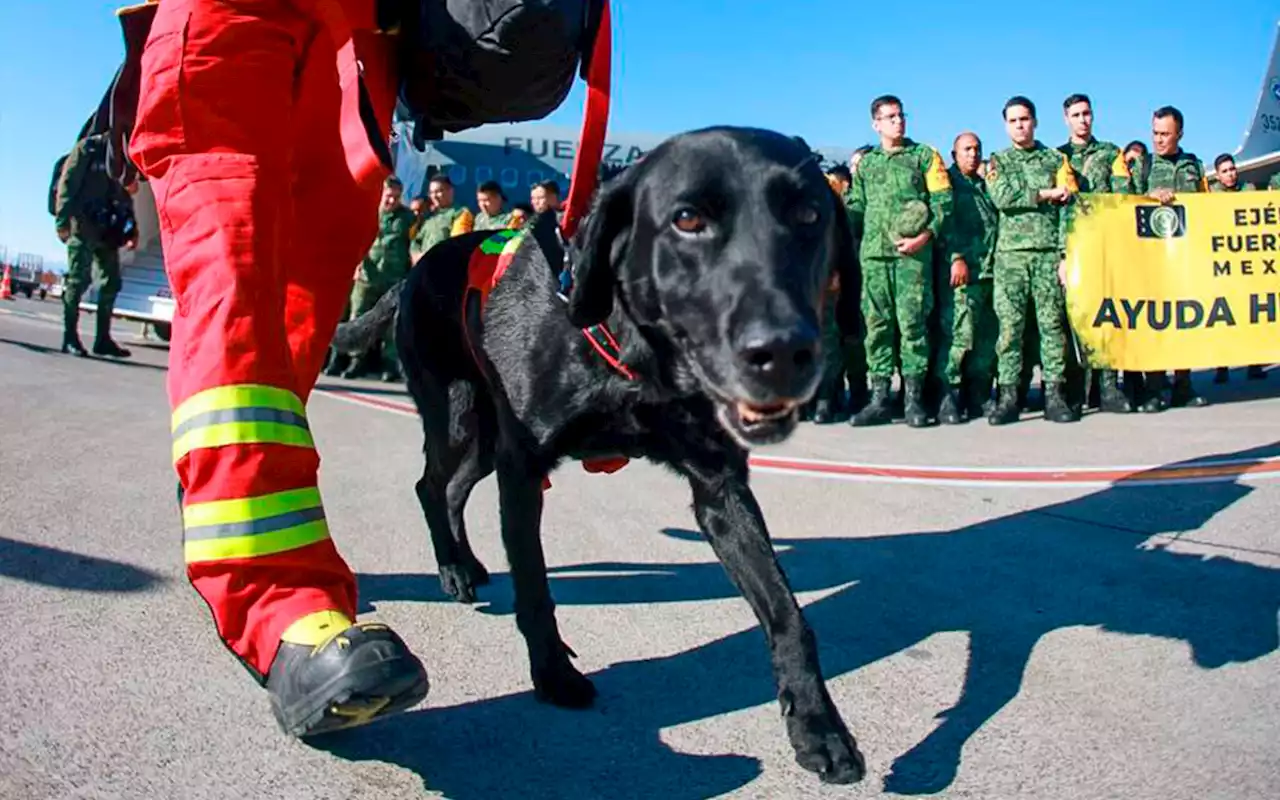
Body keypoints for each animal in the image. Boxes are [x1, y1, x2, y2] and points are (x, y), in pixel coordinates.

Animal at [335, 128, 865, 783]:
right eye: (687, 219)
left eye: (810, 215)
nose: (785, 351)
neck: (639, 356)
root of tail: (413, 273)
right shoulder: (522, 468)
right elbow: (535, 588)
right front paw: (554, 675)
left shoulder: (720, 489)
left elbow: (788, 612)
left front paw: (819, 726)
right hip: (458, 416)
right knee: (430, 486)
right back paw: (453, 569)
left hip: (483, 437)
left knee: (454, 487)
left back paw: (467, 562)